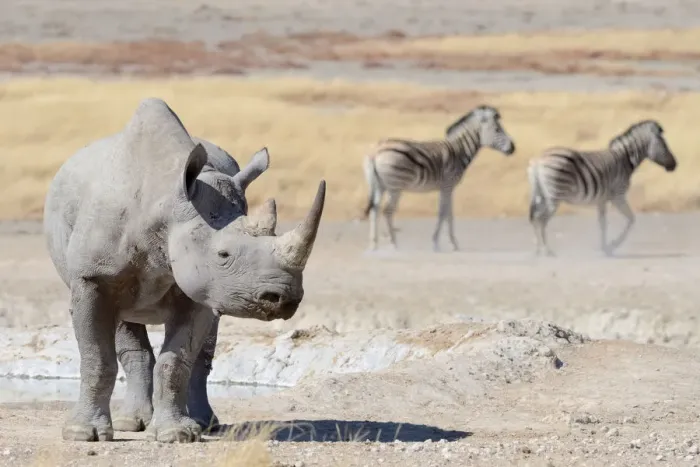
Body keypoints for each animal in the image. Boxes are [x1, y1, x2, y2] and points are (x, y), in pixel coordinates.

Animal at [43, 97, 326, 443]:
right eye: (223, 254)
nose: (284, 299)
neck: (165, 204)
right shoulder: (91, 277)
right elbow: (97, 357)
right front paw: (83, 433)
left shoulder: (203, 285)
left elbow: (176, 361)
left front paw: (176, 434)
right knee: (124, 322)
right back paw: (129, 424)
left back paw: (205, 424)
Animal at [362, 105, 516, 252]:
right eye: (497, 129)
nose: (513, 148)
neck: (458, 151)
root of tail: (376, 151)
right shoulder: (447, 186)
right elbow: (442, 213)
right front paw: (436, 243)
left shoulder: (449, 188)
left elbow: (449, 214)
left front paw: (454, 244)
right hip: (395, 187)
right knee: (387, 211)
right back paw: (394, 244)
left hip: (380, 186)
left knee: (374, 210)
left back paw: (373, 245)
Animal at [528, 120, 677, 257]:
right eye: (664, 145)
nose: (675, 165)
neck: (625, 160)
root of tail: (538, 161)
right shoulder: (618, 196)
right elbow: (631, 219)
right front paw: (612, 246)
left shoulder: (602, 199)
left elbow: (603, 224)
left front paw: (604, 248)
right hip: (554, 197)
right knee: (541, 219)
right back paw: (547, 250)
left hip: (541, 196)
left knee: (534, 218)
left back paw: (537, 250)